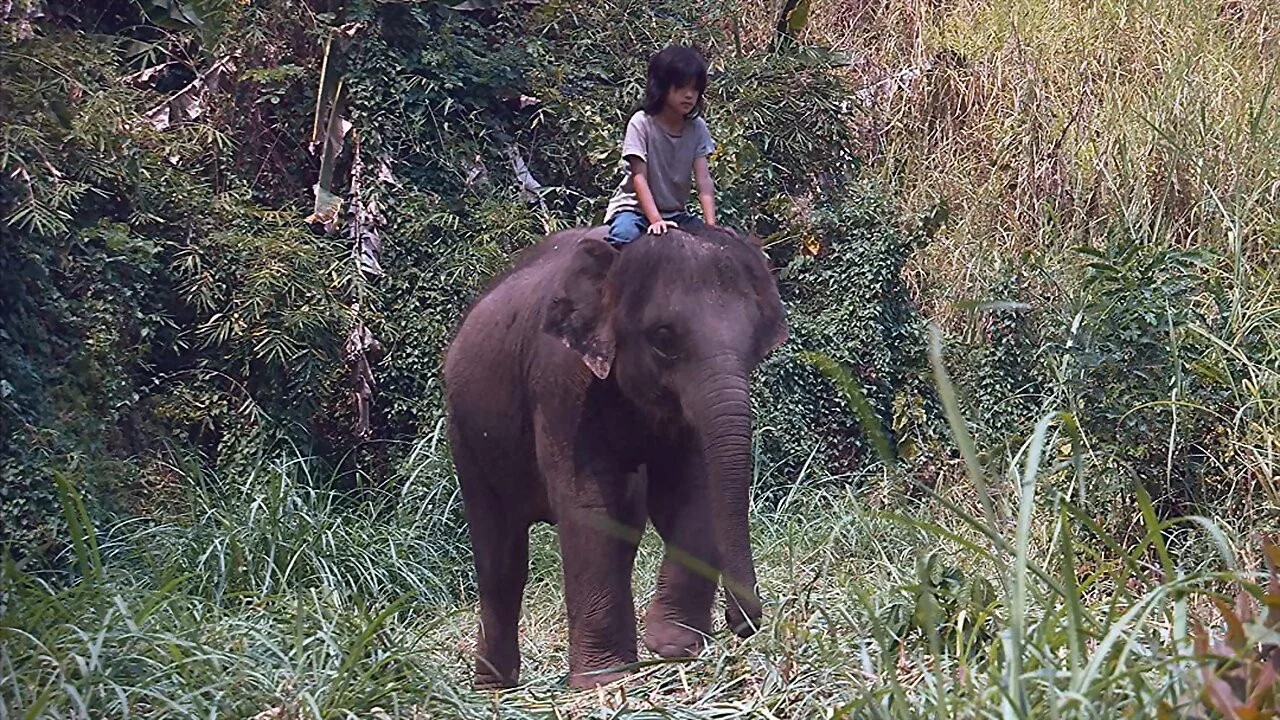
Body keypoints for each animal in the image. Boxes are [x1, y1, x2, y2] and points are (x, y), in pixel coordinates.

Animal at [442, 222, 788, 689]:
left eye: (756, 344)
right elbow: (589, 506)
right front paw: (604, 680)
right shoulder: (561, 380)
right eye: (664, 338)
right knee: (500, 558)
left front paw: (672, 647)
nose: (740, 623)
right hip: (467, 434)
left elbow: (693, 491)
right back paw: (494, 688)